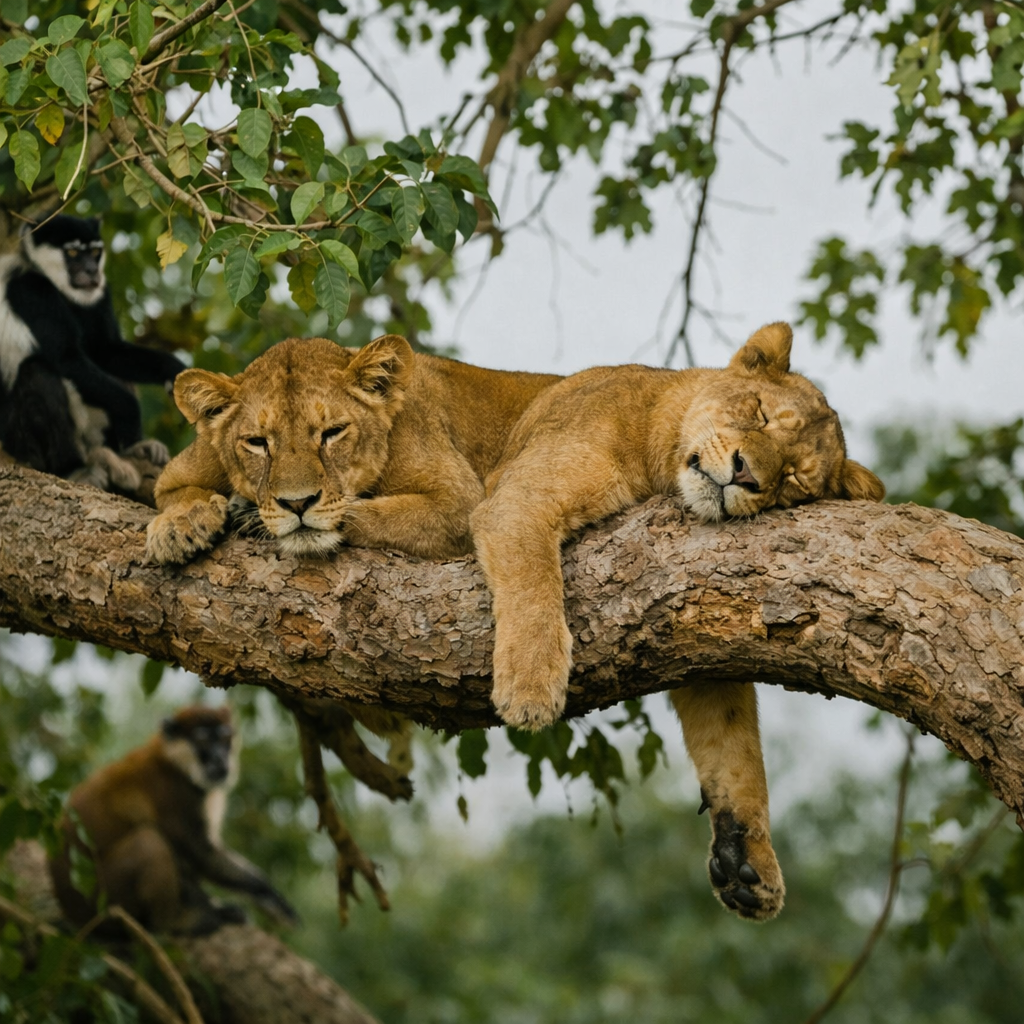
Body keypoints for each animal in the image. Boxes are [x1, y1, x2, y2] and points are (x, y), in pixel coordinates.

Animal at [470, 322, 885, 922]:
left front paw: (748, 859)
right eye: (760, 413)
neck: (656, 456)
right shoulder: (516, 498)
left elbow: (734, 743)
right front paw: (529, 689)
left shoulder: (694, 632)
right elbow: (533, 580)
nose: (744, 474)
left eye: (792, 480)